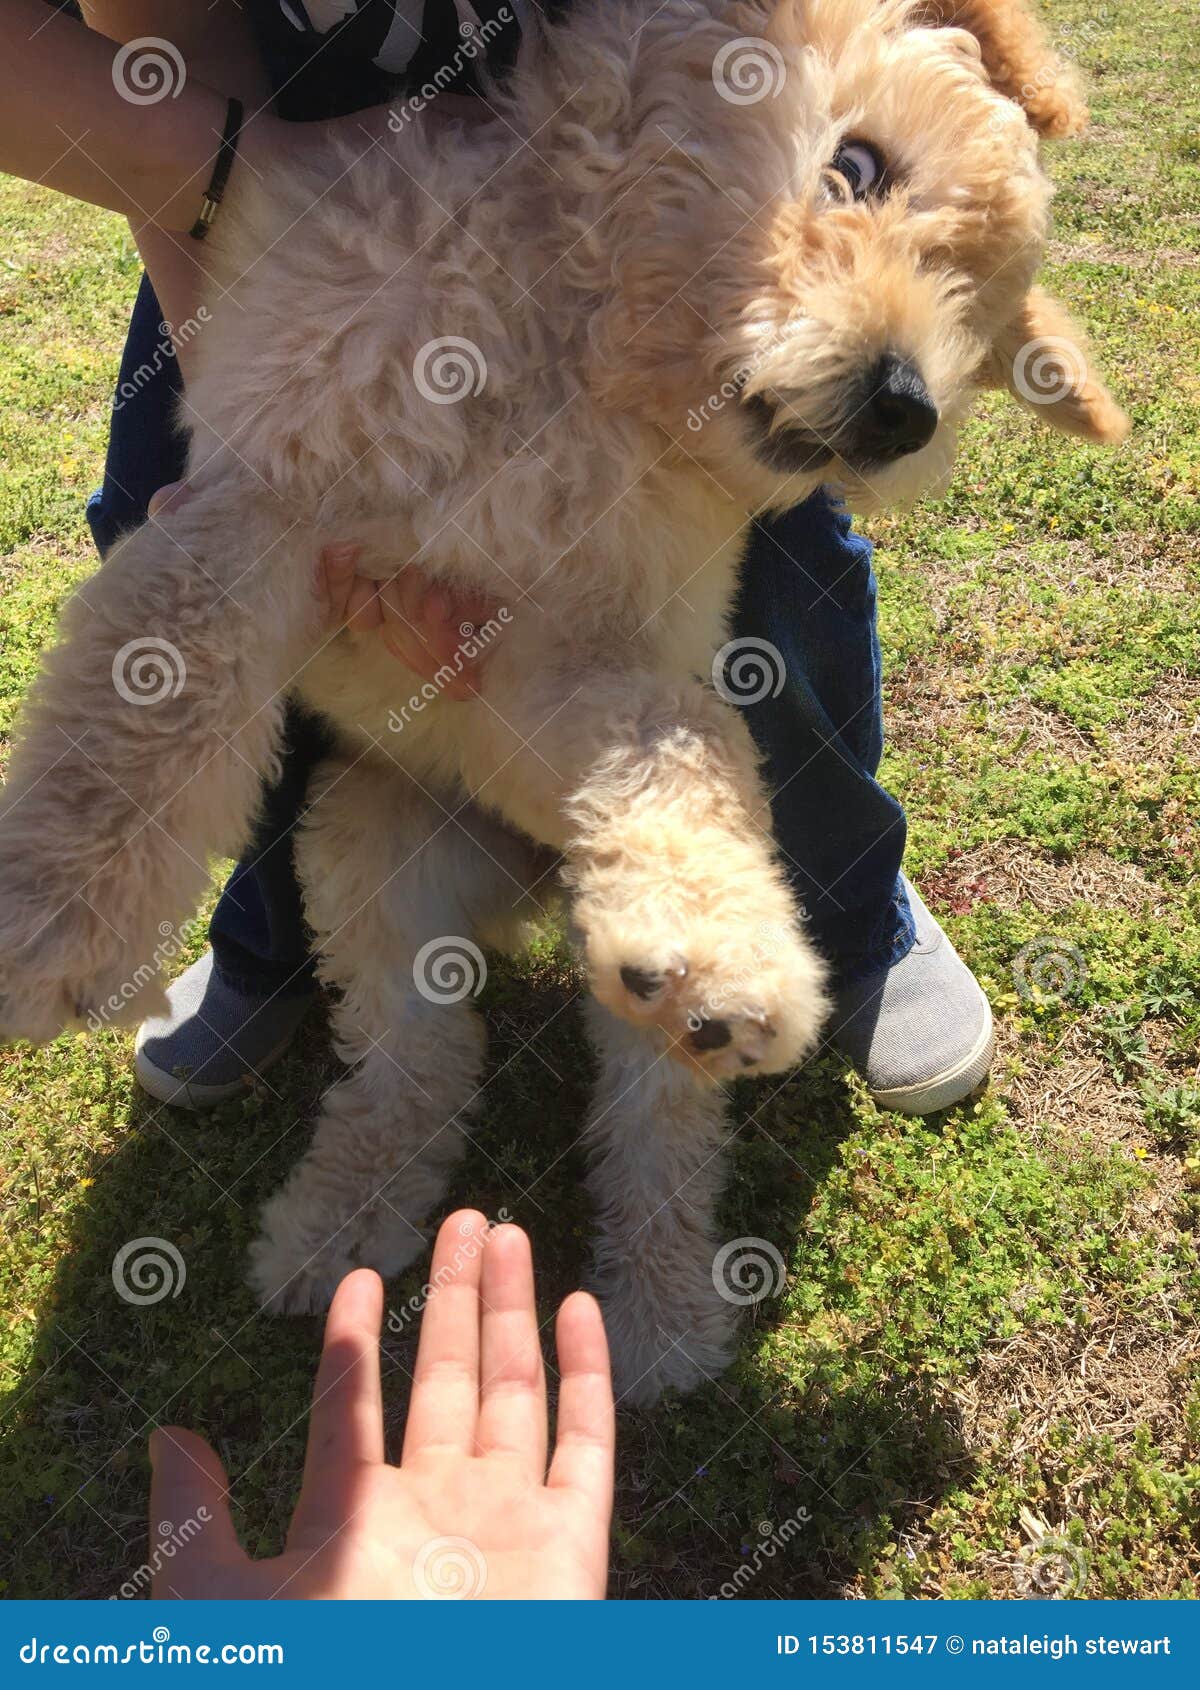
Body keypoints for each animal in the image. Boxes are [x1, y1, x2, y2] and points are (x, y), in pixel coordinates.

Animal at [0, 0, 1129, 1399]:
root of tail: (535, 896)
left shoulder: (571, 658)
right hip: (368, 853)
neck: (587, 361)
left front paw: (723, 949)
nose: (904, 409)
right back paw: (336, 1229)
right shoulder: (270, 508)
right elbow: (146, 696)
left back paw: (659, 1300)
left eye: (979, 322)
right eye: (858, 166)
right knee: (420, 1066)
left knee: (650, 1129)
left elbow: (683, 748)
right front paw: (47, 929)